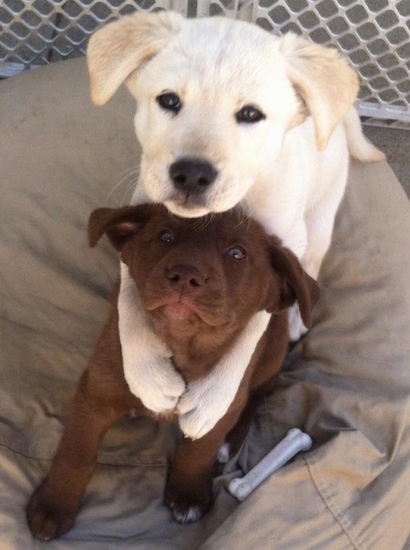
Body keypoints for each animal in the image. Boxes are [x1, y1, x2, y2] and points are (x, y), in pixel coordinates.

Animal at [26, 205, 320, 540]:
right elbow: (75, 452)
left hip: (270, 354)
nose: (186, 275)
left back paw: (229, 443)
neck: (180, 348)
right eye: (165, 236)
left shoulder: (217, 409)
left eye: (237, 253)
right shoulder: (96, 393)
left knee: (261, 391)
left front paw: (188, 495)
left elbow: (198, 452)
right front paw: (53, 505)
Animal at [87, 10, 384, 442]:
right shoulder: (140, 233)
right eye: (169, 100)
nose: (192, 174)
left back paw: (296, 318)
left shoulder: (276, 257)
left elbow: (251, 332)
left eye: (250, 114)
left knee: (312, 265)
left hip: (318, 221)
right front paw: (147, 377)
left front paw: (213, 401)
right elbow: (129, 306)